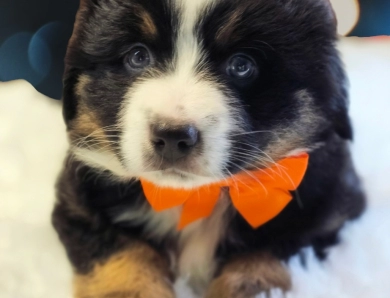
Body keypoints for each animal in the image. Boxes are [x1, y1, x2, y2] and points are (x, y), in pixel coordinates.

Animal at [53, 1, 368, 296]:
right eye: (138, 56)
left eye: (241, 65)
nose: (173, 137)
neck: (197, 196)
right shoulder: (80, 201)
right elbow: (122, 253)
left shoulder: (328, 208)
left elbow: (268, 252)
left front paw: (251, 285)